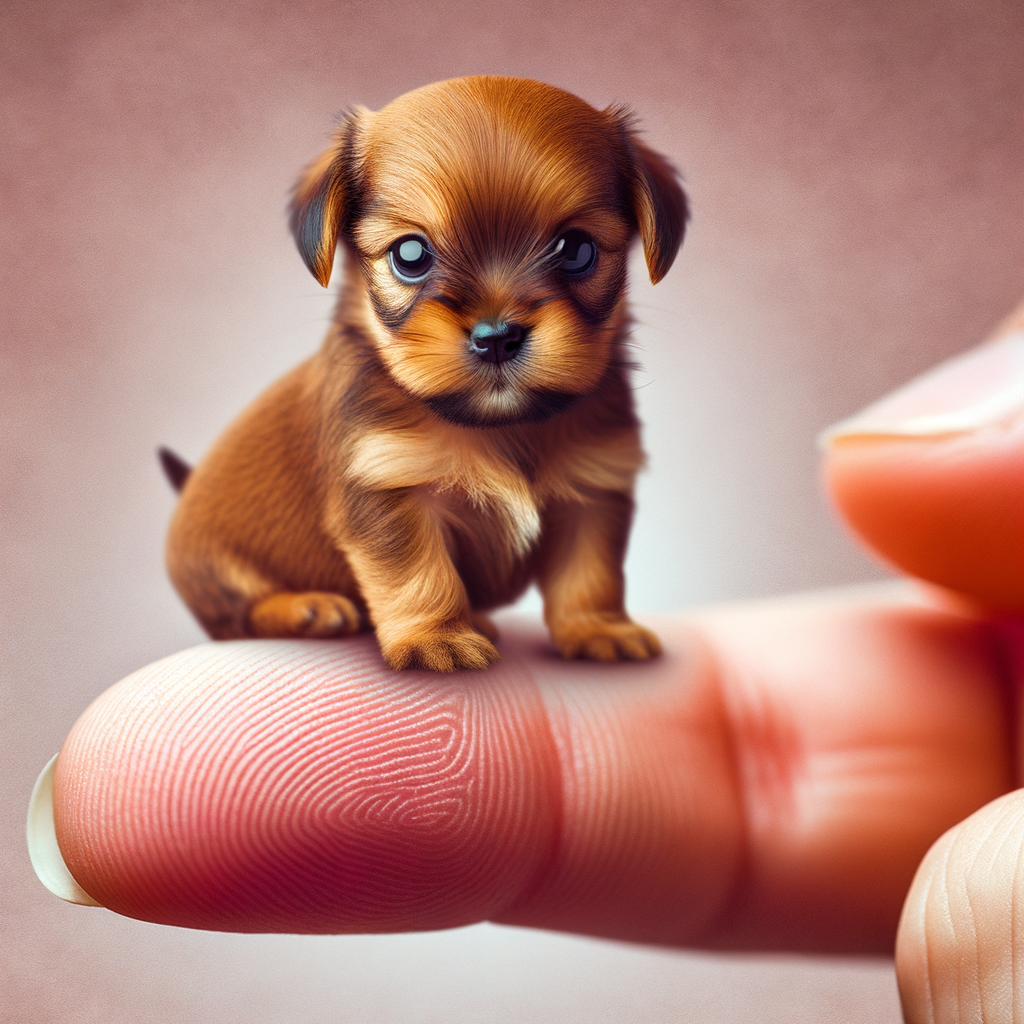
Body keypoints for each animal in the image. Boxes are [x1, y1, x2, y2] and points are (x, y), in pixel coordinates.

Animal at [163, 77, 684, 671]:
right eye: (410, 254)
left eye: (578, 250)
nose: (497, 336)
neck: (502, 427)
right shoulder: (386, 482)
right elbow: (416, 571)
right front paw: (437, 637)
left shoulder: (593, 489)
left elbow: (590, 572)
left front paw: (598, 628)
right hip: (215, 566)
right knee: (236, 618)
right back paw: (307, 608)